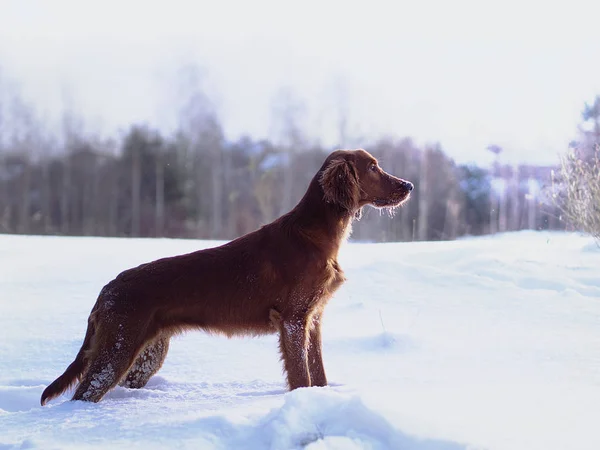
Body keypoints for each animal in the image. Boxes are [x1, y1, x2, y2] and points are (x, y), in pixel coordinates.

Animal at [41, 148, 412, 404]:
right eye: (372, 167)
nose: (408, 185)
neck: (314, 235)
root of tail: (107, 289)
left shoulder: (313, 319)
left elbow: (318, 371)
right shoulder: (293, 320)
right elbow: (301, 375)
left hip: (146, 355)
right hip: (118, 347)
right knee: (85, 393)